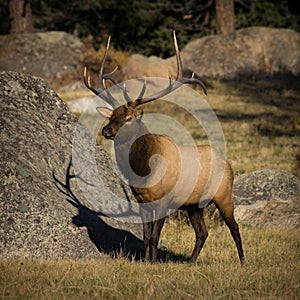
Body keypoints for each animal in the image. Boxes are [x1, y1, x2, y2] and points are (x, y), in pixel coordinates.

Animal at [84, 31, 244, 264]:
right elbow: (146, 236)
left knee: (235, 228)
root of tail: (229, 164)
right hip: (194, 205)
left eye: (129, 118)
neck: (143, 170)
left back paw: (242, 262)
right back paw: (191, 262)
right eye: (112, 115)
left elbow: (155, 236)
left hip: (224, 194)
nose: (106, 130)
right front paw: (145, 261)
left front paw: (152, 262)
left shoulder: (165, 200)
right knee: (202, 232)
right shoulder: (142, 201)